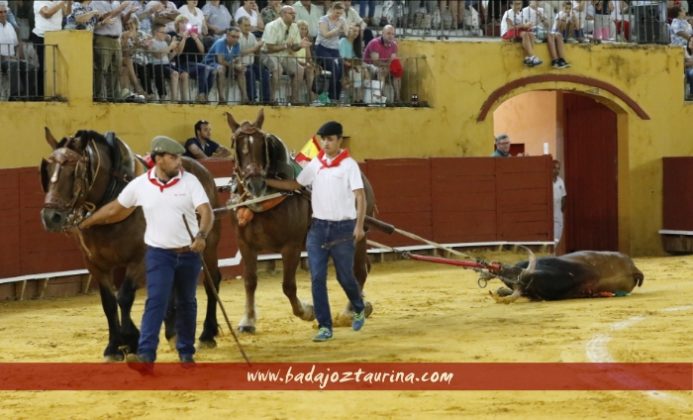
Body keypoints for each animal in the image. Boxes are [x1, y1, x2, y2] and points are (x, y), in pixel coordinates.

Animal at [39, 129, 222, 360]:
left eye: (74, 171)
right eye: (47, 170)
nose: (50, 217)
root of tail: (201, 168)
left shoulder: (140, 259)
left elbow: (124, 297)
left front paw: (130, 339)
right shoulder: (95, 264)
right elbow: (109, 303)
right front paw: (115, 346)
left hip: (208, 245)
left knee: (212, 281)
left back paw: (207, 333)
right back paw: (172, 331)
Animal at [222, 110, 374, 334]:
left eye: (261, 144)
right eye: (236, 144)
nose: (255, 184)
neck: (263, 201)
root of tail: (361, 175)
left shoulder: (291, 246)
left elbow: (288, 285)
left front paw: (306, 311)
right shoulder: (245, 245)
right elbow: (250, 282)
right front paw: (248, 320)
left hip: (358, 236)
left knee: (358, 273)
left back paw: (350, 311)